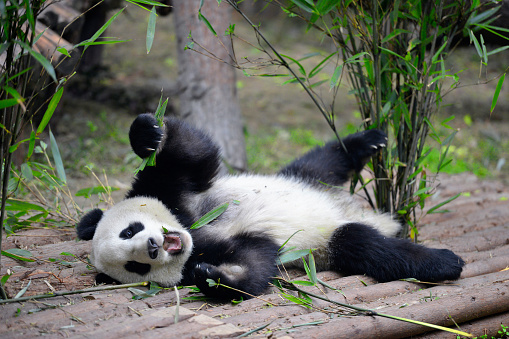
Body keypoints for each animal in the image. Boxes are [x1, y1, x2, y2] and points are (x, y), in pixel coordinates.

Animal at [76, 114, 464, 300]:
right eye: (136, 266)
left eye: (130, 230)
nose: (153, 246)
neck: (192, 232)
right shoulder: (226, 246)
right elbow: (255, 263)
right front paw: (215, 278)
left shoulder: (172, 193)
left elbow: (189, 155)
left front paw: (147, 134)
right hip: (324, 244)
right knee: (366, 246)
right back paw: (443, 261)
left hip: (302, 177)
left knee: (326, 160)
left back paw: (369, 140)